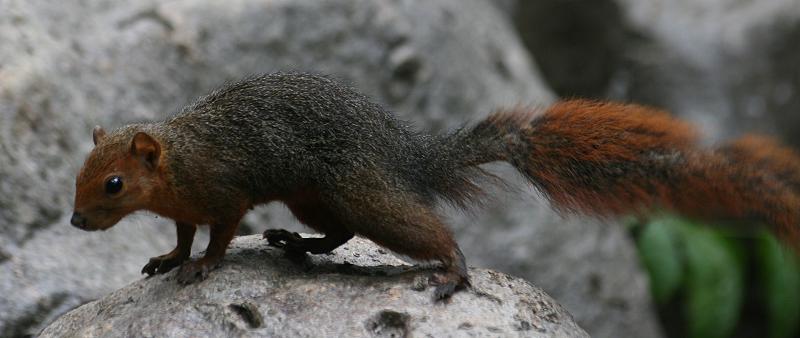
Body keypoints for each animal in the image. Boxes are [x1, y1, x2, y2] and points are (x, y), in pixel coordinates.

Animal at [72, 72, 796, 300]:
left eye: (113, 184)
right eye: (78, 175)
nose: (77, 223)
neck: (176, 161)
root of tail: (412, 155)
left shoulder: (221, 190)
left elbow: (219, 233)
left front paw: (202, 266)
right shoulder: (185, 204)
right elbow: (182, 231)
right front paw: (169, 258)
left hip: (364, 191)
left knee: (418, 230)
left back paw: (450, 271)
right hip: (318, 195)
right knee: (339, 231)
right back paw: (299, 243)